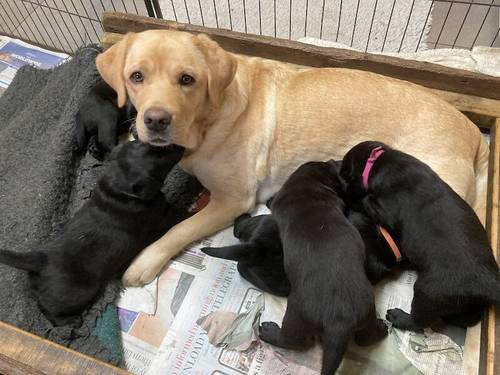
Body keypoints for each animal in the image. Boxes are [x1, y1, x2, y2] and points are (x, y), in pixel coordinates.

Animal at [0, 141, 186, 326]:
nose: (180, 146)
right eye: (160, 159)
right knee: (51, 313)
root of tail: (40, 259)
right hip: (80, 292)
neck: (116, 190)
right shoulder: (161, 215)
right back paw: (74, 320)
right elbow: (178, 215)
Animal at [96, 30, 488, 288]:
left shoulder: (234, 200)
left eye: (187, 80)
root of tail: (473, 131)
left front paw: (146, 260)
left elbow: (180, 229)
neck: (208, 119)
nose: (155, 120)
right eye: (136, 77)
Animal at [256, 162, 388, 375]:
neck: (305, 182)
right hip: (367, 312)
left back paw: (269, 332)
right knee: (365, 339)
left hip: (295, 314)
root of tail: (339, 323)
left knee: (291, 340)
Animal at [340, 142, 500, 332]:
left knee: (421, 321)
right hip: (464, 303)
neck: (378, 161)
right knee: (467, 318)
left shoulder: (383, 209)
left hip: (428, 292)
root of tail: (489, 282)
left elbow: (365, 200)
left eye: (344, 173)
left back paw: (399, 317)